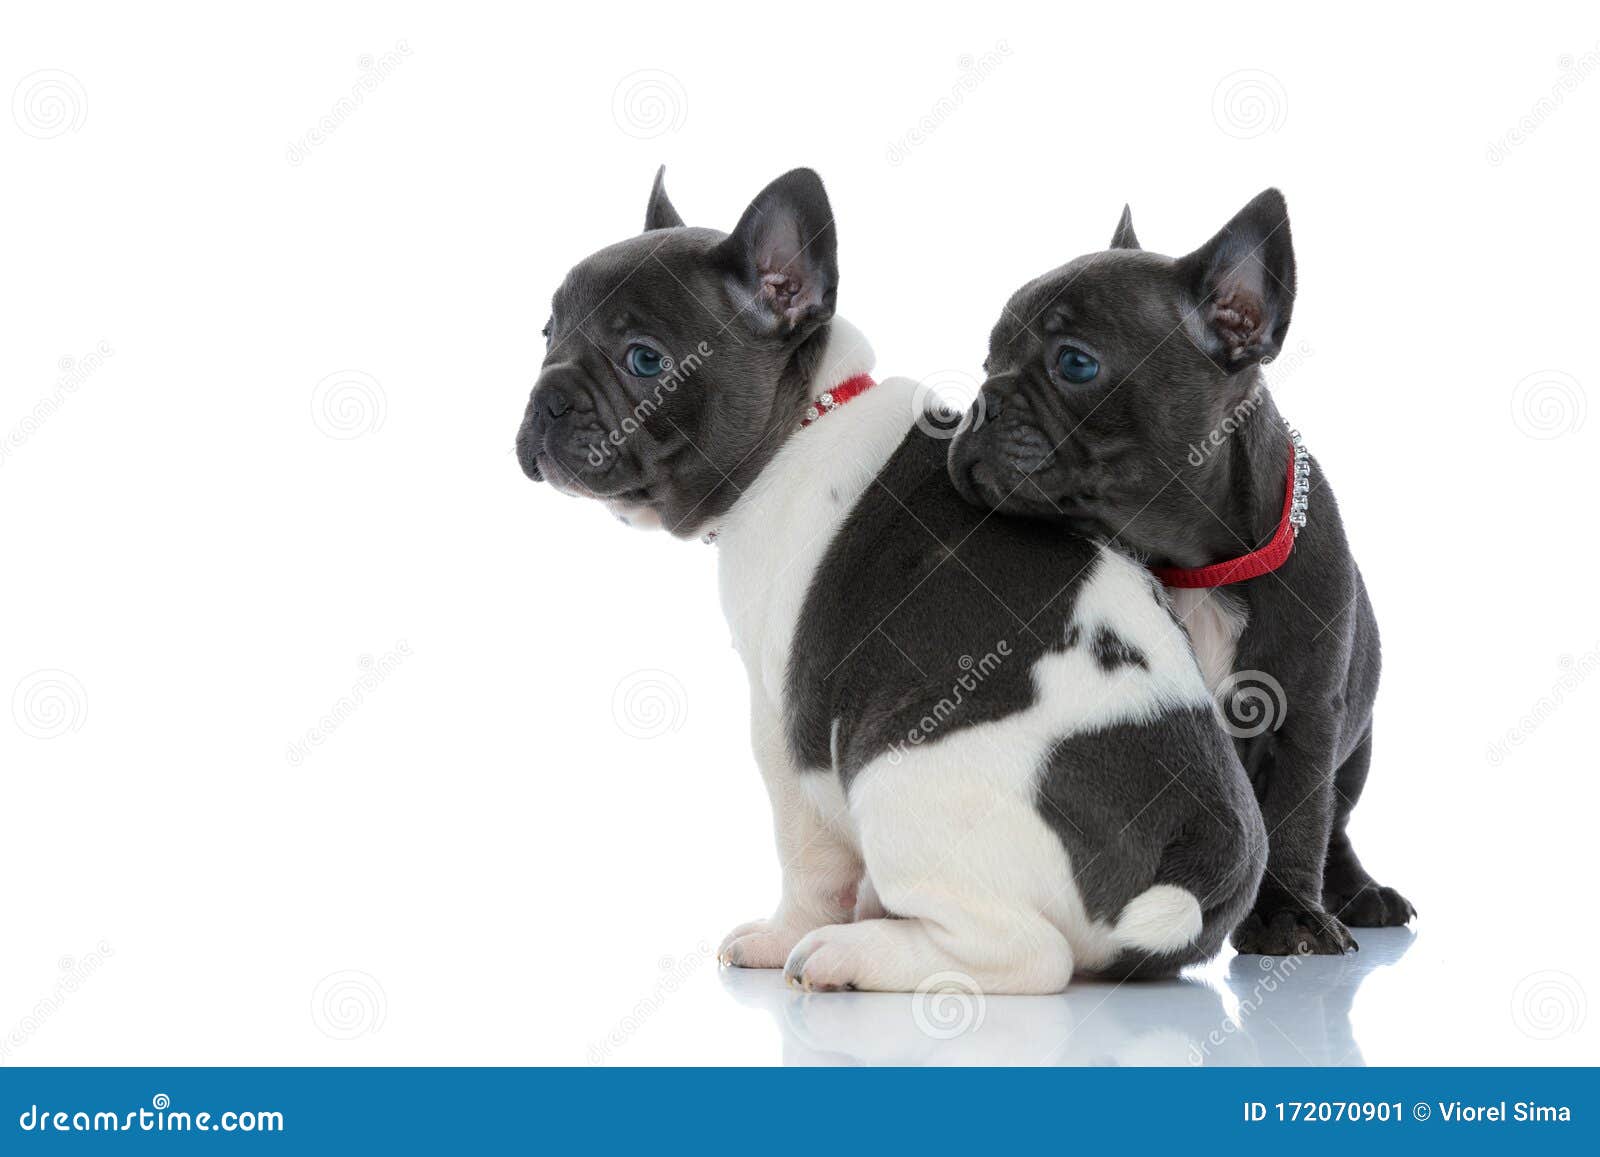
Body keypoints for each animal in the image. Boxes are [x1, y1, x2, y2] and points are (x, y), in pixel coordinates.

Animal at [518, 167, 1267, 992]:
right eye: (546, 335)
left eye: (645, 359)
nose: (546, 398)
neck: (801, 421)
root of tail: (1184, 876)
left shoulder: (784, 718)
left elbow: (806, 853)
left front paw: (783, 934)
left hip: (894, 768)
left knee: (1030, 955)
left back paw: (854, 952)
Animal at [947, 192, 1414, 960]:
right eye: (989, 358)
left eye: (1075, 363)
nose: (981, 398)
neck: (1199, 565)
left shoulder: (1307, 717)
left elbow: (1297, 820)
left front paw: (1288, 913)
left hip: (1359, 746)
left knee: (1336, 826)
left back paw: (1358, 891)